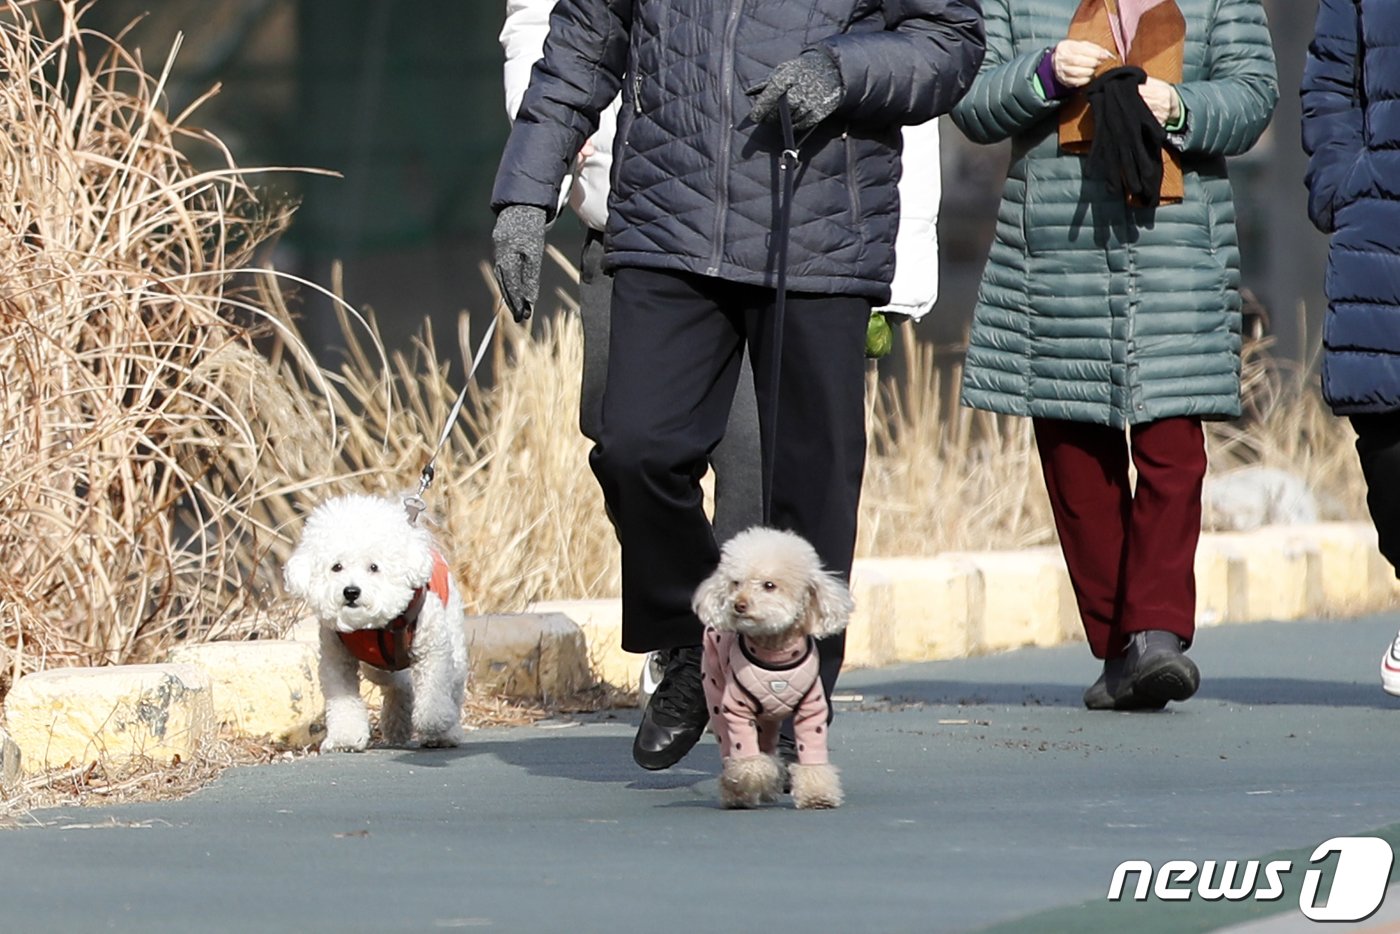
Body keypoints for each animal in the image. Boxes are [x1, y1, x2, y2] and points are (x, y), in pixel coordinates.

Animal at [284, 495, 470, 750]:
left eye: (374, 567)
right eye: (336, 567)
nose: (351, 591)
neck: (377, 626)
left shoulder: (432, 648)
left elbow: (434, 691)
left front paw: (435, 722)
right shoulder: (337, 659)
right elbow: (343, 701)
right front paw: (345, 738)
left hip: (453, 643)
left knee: (453, 686)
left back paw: (446, 733)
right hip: (376, 668)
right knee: (400, 685)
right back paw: (397, 725)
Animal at [688, 529, 851, 806]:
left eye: (769, 585)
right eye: (736, 583)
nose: (738, 604)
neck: (776, 653)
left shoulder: (811, 711)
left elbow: (813, 755)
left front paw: (818, 794)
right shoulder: (737, 709)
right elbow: (745, 755)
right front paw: (746, 779)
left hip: (767, 719)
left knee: (766, 745)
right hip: (716, 695)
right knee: (729, 746)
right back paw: (737, 790)